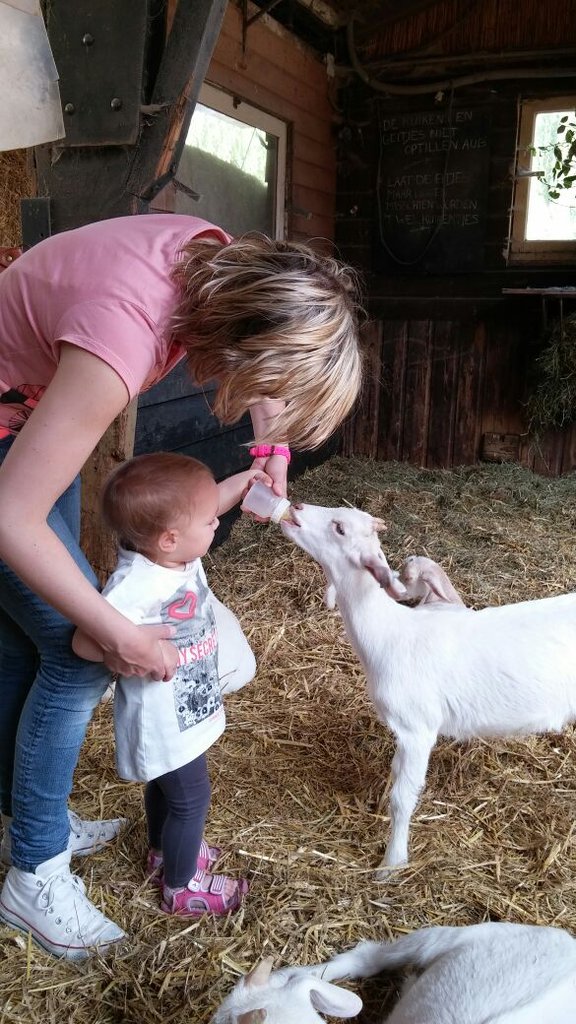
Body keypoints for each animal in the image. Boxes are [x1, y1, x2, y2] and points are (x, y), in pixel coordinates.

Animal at [278, 503, 573, 872]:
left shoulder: (418, 728)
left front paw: (392, 862)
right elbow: (395, 772)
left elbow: (403, 798)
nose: (296, 506)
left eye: (340, 528)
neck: (388, 633)